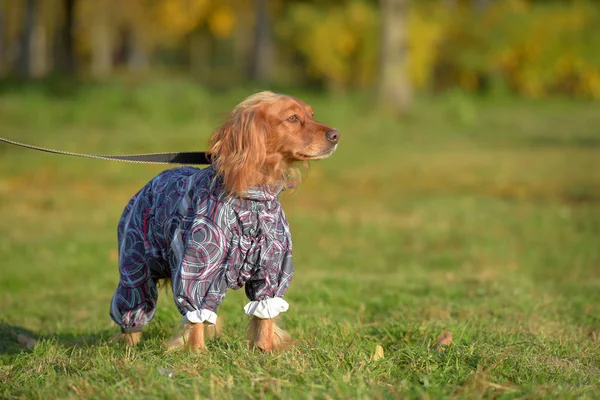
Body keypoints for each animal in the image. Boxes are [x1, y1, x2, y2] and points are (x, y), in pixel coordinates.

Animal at [110, 91, 340, 350]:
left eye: (311, 115)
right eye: (292, 118)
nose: (335, 135)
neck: (253, 200)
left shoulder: (273, 268)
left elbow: (265, 314)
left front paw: (265, 349)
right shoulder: (197, 270)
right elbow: (196, 316)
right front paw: (196, 352)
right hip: (135, 268)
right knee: (133, 309)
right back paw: (129, 345)